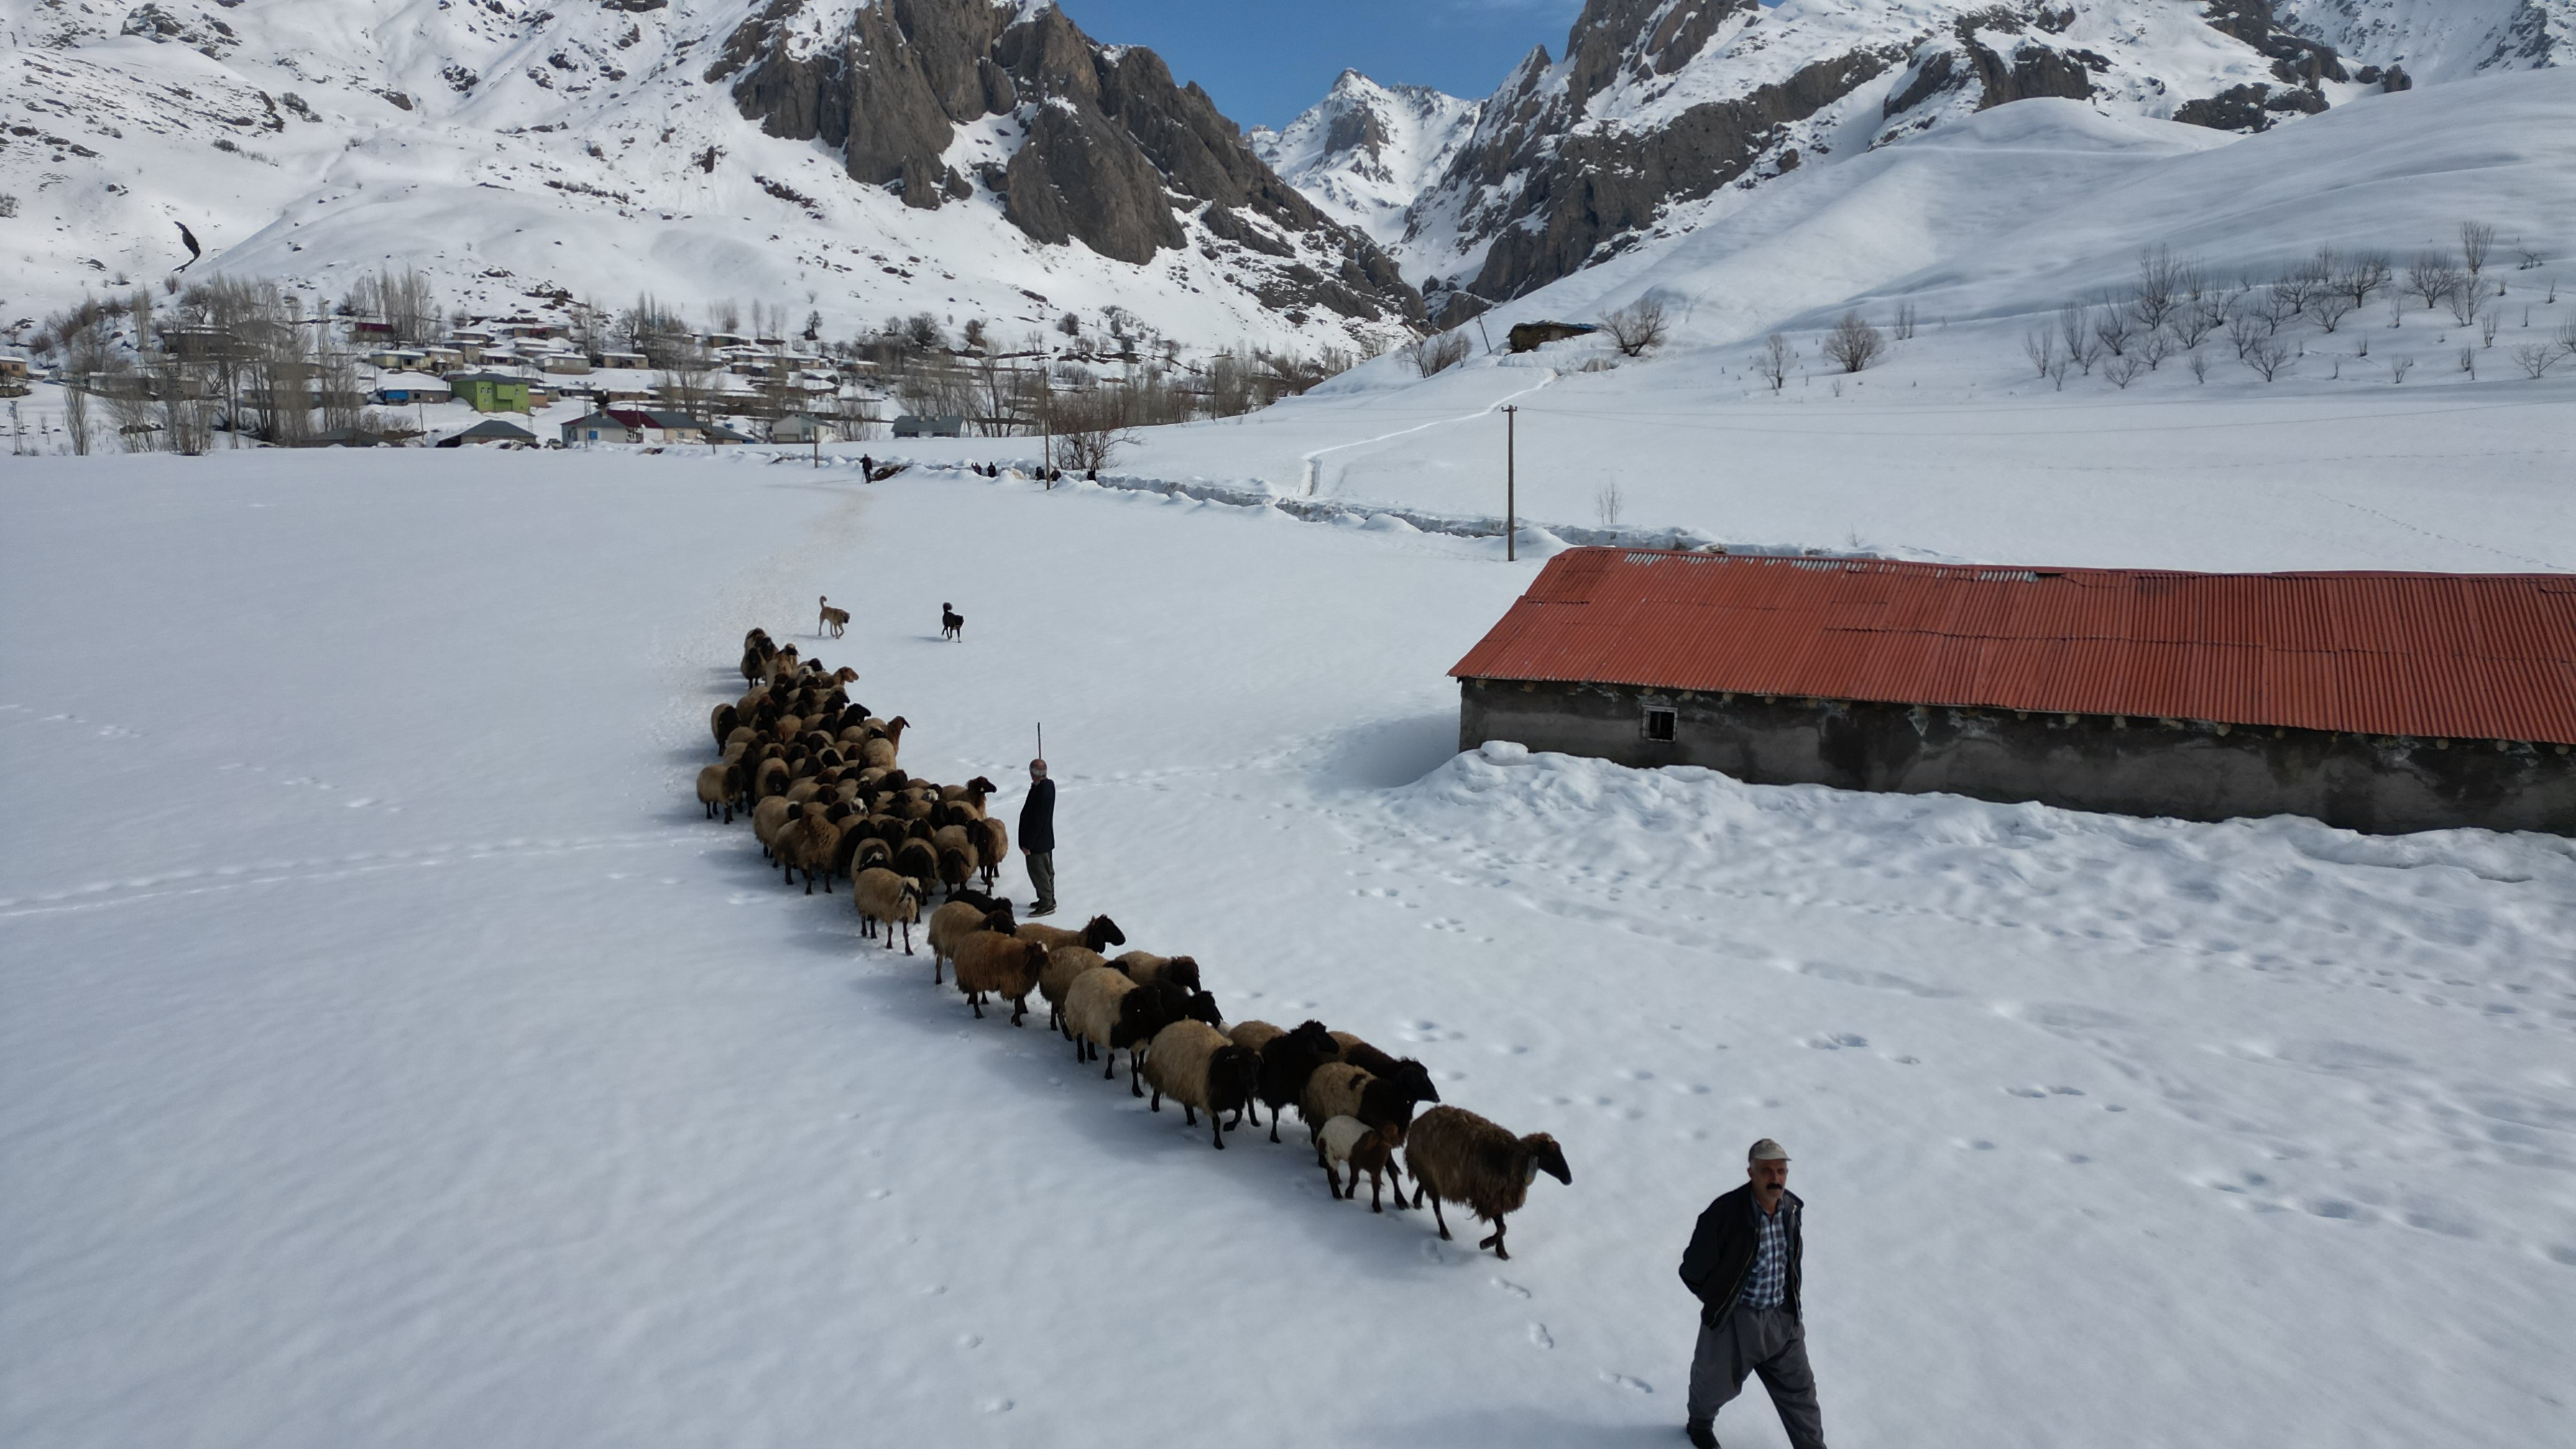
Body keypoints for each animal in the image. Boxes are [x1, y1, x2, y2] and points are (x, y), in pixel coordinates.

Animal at [1411, 1098, 1566, 1258]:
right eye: (1549, 1157)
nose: (1568, 1179)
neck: (1513, 1160)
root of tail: (1420, 1120)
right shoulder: (1488, 1198)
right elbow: (1502, 1228)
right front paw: (1486, 1244)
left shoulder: (1497, 1198)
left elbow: (1502, 1227)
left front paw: (1501, 1252)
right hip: (1432, 1174)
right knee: (1436, 1205)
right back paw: (1444, 1232)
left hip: (1430, 1173)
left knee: (1423, 1186)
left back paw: (1417, 1202)